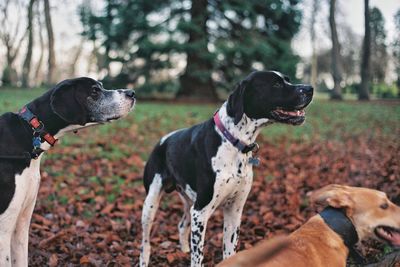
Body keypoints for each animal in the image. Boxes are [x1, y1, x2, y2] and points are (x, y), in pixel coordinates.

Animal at [140, 70, 312, 266]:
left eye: (287, 80)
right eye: (276, 84)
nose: (310, 89)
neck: (233, 141)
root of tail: (162, 141)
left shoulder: (234, 211)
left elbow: (230, 253)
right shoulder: (201, 213)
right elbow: (198, 258)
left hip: (189, 202)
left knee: (182, 225)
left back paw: (183, 250)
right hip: (151, 204)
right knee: (145, 243)